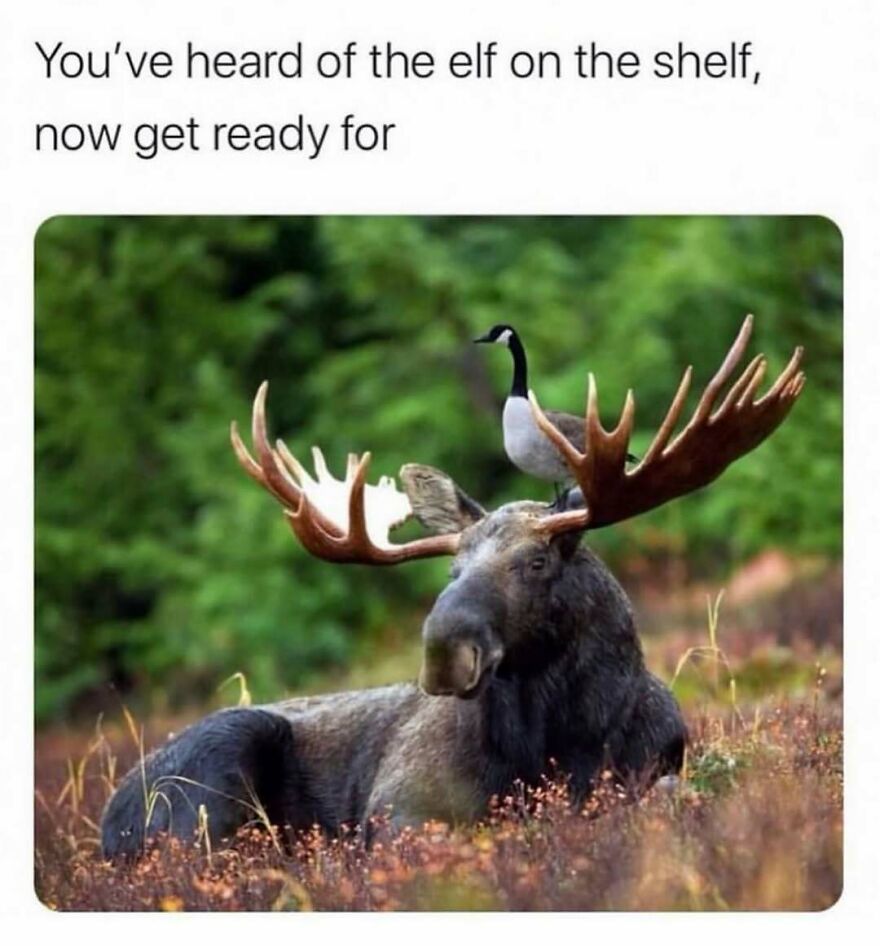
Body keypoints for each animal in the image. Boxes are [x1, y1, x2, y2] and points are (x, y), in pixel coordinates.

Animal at [100, 315, 804, 858]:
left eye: (537, 562)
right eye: (452, 569)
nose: (443, 651)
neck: (561, 741)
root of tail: (107, 821)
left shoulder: (655, 767)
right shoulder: (400, 806)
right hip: (215, 770)